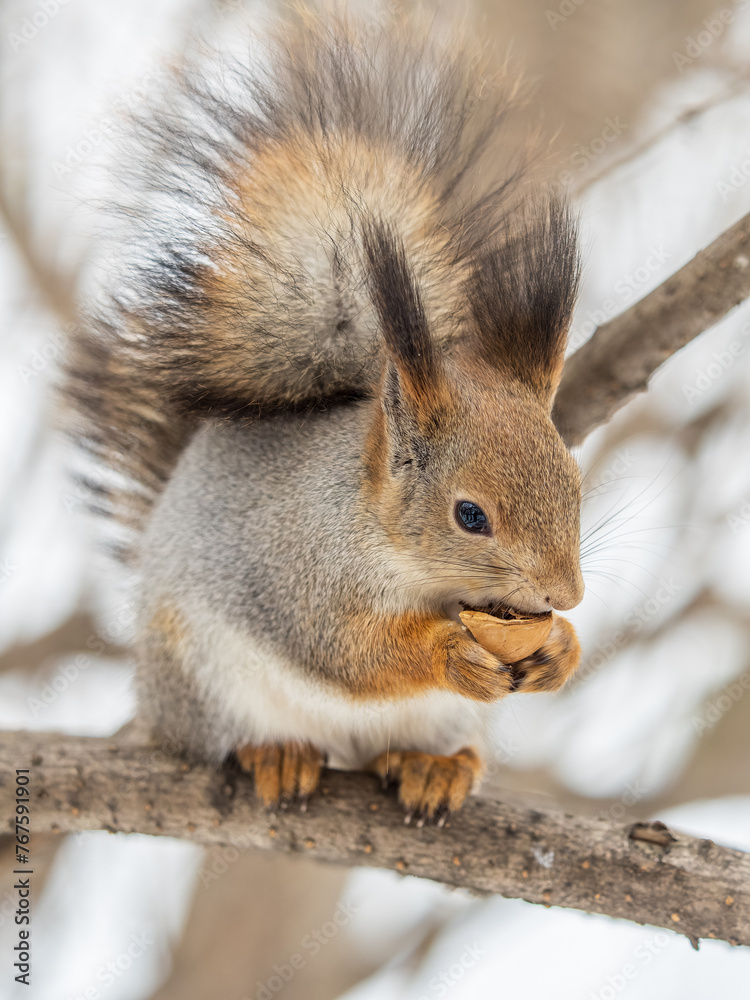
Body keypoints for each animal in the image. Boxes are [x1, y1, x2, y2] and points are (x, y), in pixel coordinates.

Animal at [64, 6, 584, 822]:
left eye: (576, 484)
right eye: (470, 516)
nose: (566, 596)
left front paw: (562, 650)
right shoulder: (305, 573)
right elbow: (347, 652)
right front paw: (445, 650)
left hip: (438, 720)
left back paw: (436, 767)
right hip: (203, 677)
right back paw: (273, 753)